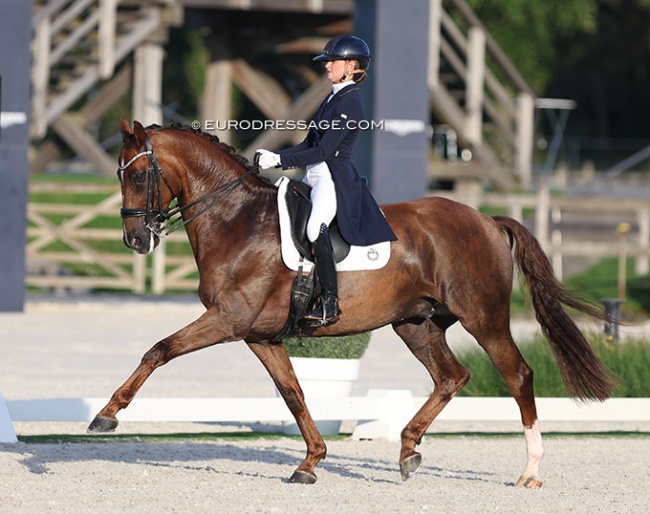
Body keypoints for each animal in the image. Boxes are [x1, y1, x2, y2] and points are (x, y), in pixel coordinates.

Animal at [87, 118, 612, 486]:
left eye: (138, 175)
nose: (135, 240)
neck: (237, 220)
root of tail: (486, 219)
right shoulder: (259, 336)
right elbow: (294, 394)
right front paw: (311, 462)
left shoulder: (226, 320)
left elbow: (158, 350)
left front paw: (106, 415)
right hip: (416, 325)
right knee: (451, 376)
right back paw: (408, 450)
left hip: (484, 318)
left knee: (518, 375)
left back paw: (530, 470)